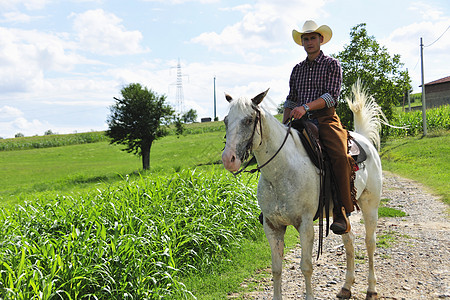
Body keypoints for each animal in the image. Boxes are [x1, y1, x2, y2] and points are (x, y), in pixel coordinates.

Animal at [223, 84, 382, 300]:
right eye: (226, 120)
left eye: (248, 120)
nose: (228, 159)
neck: (281, 171)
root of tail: (363, 139)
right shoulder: (272, 226)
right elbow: (276, 268)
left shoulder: (305, 225)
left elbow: (306, 266)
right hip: (342, 210)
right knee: (349, 240)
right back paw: (346, 287)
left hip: (370, 205)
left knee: (369, 242)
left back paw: (371, 289)